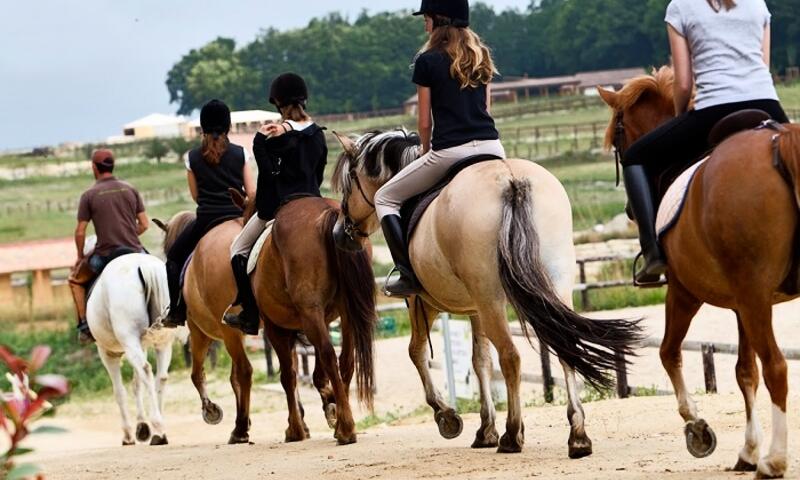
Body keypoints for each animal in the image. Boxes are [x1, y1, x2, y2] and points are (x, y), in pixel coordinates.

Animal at [88, 253, 179, 444]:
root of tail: (144, 266)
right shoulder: (140, 346)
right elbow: (137, 385)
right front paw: (142, 426)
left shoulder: (108, 353)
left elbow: (119, 392)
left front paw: (129, 434)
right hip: (162, 342)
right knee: (161, 377)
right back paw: (159, 429)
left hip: (128, 340)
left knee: (146, 370)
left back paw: (157, 425)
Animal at [155, 193, 376, 444]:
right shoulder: (294, 322)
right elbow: (297, 370)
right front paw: (310, 415)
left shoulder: (203, 332)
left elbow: (201, 374)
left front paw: (211, 410)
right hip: (342, 313)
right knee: (344, 360)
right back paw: (339, 419)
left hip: (232, 329)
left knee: (246, 372)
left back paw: (242, 429)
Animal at [328, 130, 640, 458]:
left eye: (348, 185)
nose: (339, 234)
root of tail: (511, 180)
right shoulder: (475, 308)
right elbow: (481, 362)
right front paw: (485, 429)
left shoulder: (421, 302)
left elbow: (417, 352)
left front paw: (447, 417)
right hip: (551, 284)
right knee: (564, 344)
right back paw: (577, 436)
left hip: (489, 299)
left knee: (511, 357)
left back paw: (513, 435)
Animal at [600, 65, 800, 478]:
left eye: (619, 136)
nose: (628, 212)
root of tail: (779, 144)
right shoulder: (743, 305)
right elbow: (744, 370)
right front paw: (747, 450)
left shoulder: (684, 293)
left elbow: (668, 353)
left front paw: (697, 427)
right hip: (754, 300)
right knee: (766, 367)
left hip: (748, 297)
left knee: (776, 367)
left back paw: (774, 460)